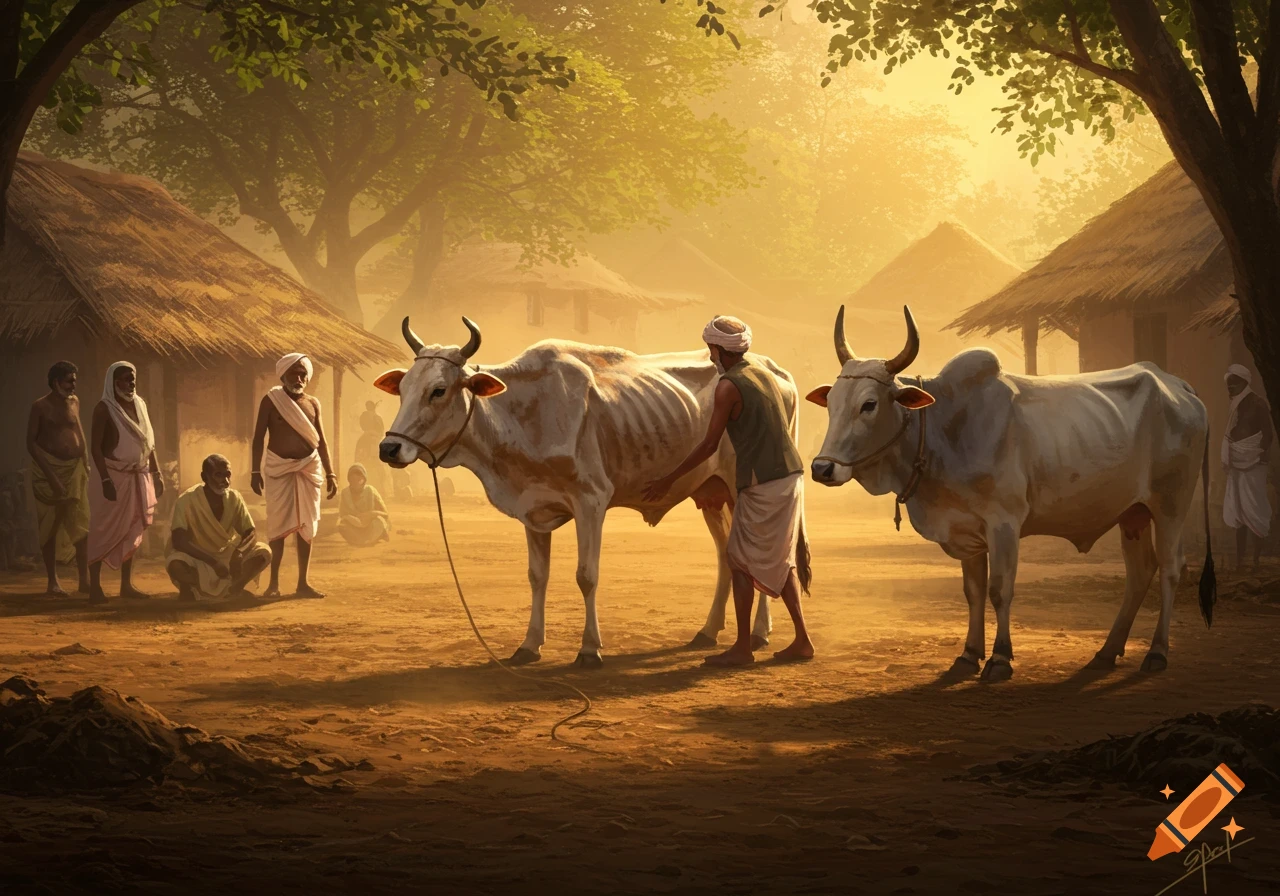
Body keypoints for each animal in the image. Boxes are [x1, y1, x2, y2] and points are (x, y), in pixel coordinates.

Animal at [376, 317, 809, 667]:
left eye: (438, 390)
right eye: (403, 388)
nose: (389, 448)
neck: (523, 412)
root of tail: (774, 370)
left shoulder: (590, 502)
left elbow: (587, 576)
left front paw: (589, 649)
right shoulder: (532, 508)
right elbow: (537, 576)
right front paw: (529, 645)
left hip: (744, 487)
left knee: (765, 554)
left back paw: (759, 633)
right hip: (710, 493)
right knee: (726, 557)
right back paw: (708, 631)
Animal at [807, 305, 1214, 681]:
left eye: (869, 404)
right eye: (831, 403)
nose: (821, 468)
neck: (944, 428)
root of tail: (1179, 387)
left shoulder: (1003, 523)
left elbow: (1000, 589)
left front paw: (1000, 658)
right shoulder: (966, 530)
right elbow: (973, 592)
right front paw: (968, 655)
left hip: (1170, 504)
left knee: (1171, 569)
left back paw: (1157, 653)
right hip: (1132, 513)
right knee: (1140, 572)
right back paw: (1106, 652)